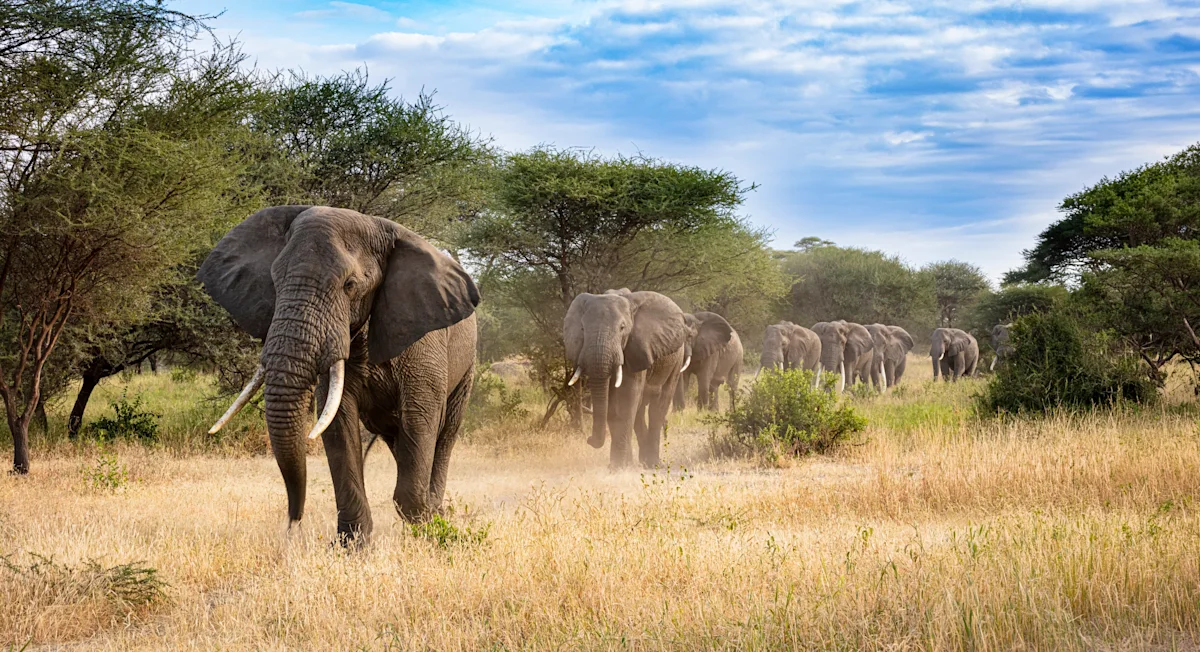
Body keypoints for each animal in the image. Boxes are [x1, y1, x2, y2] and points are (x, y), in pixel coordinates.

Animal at [197, 206, 480, 544]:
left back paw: (437, 514)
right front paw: (351, 547)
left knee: (445, 432)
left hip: (468, 365)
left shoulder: (424, 342)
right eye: (275, 282)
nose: (292, 523)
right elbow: (338, 422)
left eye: (350, 285)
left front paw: (425, 534)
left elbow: (420, 415)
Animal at [564, 289, 687, 468]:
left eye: (622, 328)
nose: (589, 439)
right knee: (639, 411)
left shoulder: (635, 348)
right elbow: (612, 406)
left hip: (677, 358)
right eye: (582, 328)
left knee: (658, 407)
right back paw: (642, 461)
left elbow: (627, 397)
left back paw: (653, 464)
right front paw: (620, 465)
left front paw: (618, 467)